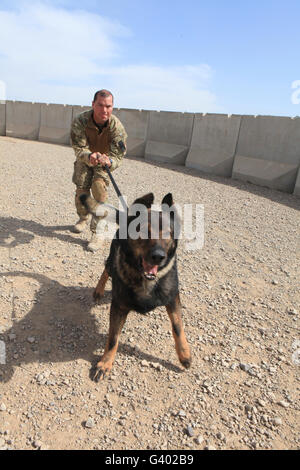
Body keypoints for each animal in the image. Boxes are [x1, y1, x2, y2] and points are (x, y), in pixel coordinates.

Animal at [79, 193, 191, 380]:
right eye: (143, 230)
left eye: (167, 233)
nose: (158, 256)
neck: (144, 278)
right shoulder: (118, 307)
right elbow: (113, 339)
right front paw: (105, 363)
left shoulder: (173, 298)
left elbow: (177, 327)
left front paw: (184, 354)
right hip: (112, 259)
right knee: (106, 269)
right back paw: (98, 290)